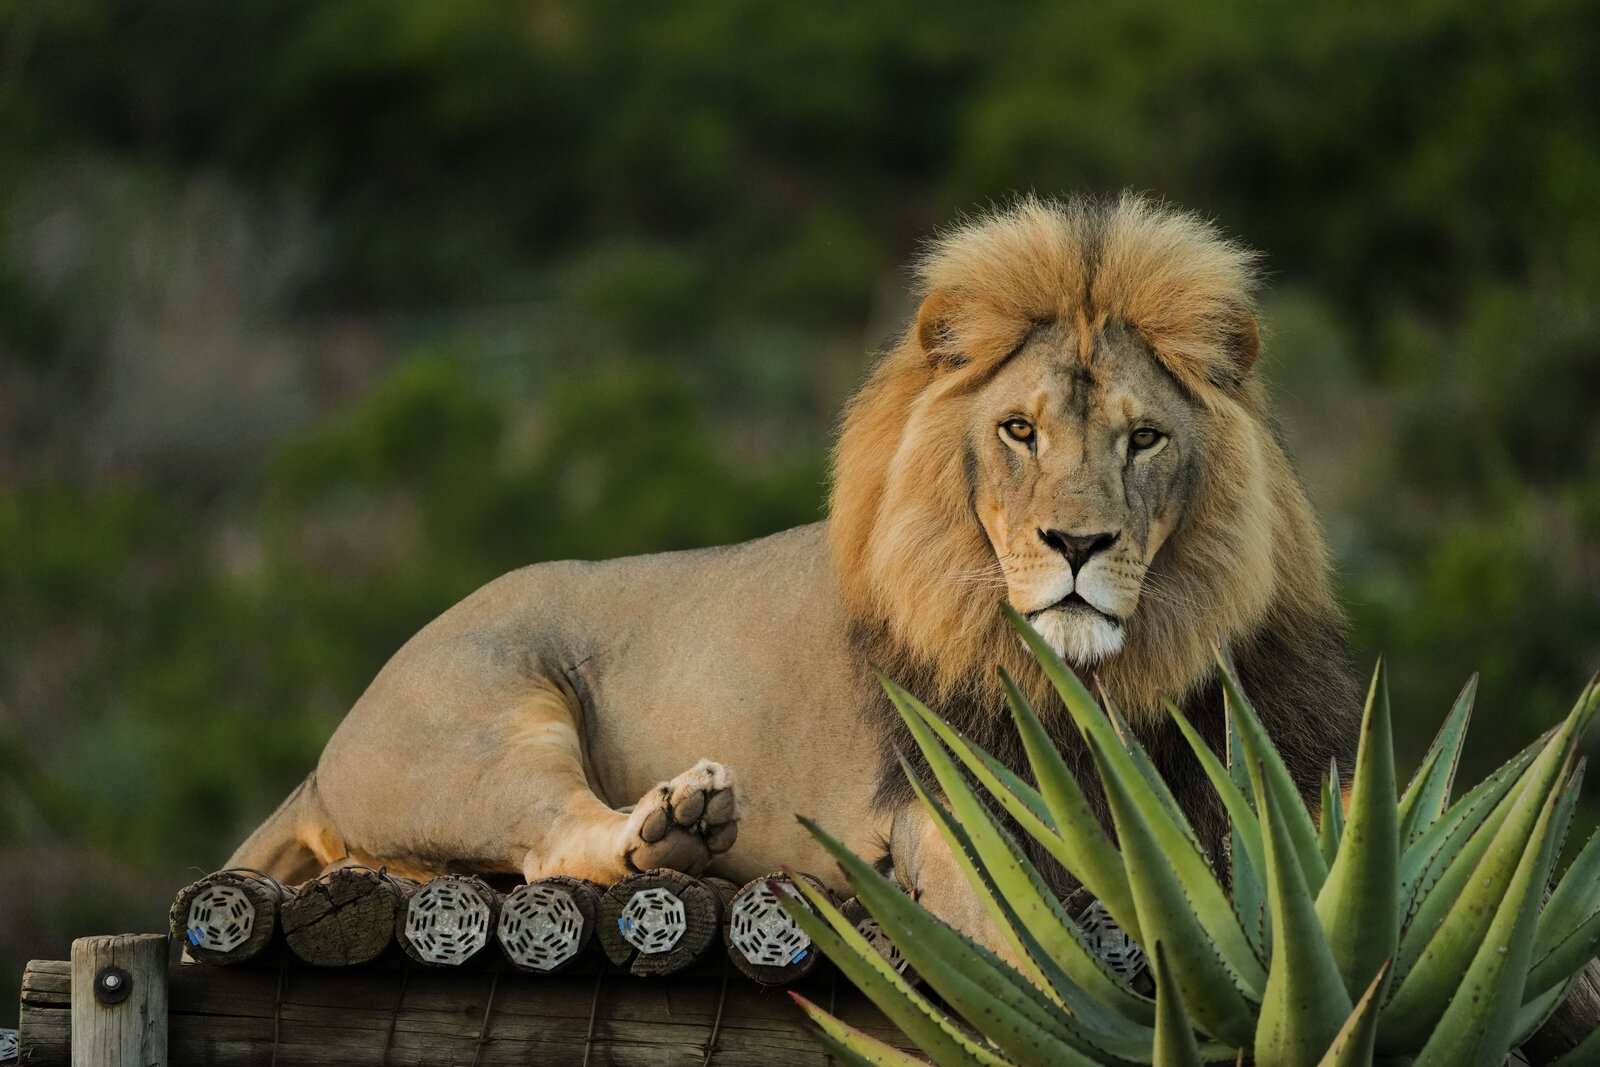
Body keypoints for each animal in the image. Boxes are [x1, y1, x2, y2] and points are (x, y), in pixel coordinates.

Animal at [230, 192, 1360, 953]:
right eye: (1019, 430)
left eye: (1144, 439)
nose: (1075, 545)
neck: (1103, 686)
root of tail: (326, 751)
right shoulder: (944, 802)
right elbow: (1015, 944)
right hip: (480, 720)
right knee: (555, 839)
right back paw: (677, 822)